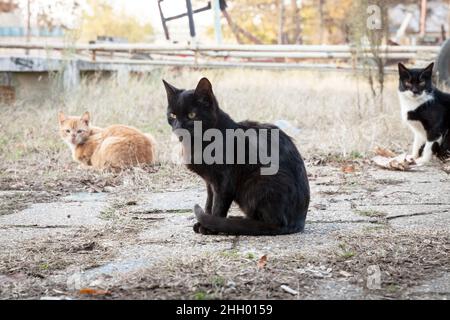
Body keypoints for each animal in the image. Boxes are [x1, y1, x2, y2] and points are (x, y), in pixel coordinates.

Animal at [163, 77, 312, 235]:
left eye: (192, 115)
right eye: (172, 115)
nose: (178, 128)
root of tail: (298, 222)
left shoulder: (224, 181)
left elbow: (218, 205)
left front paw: (209, 227)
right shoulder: (210, 182)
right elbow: (209, 202)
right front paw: (205, 222)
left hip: (260, 180)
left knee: (272, 223)